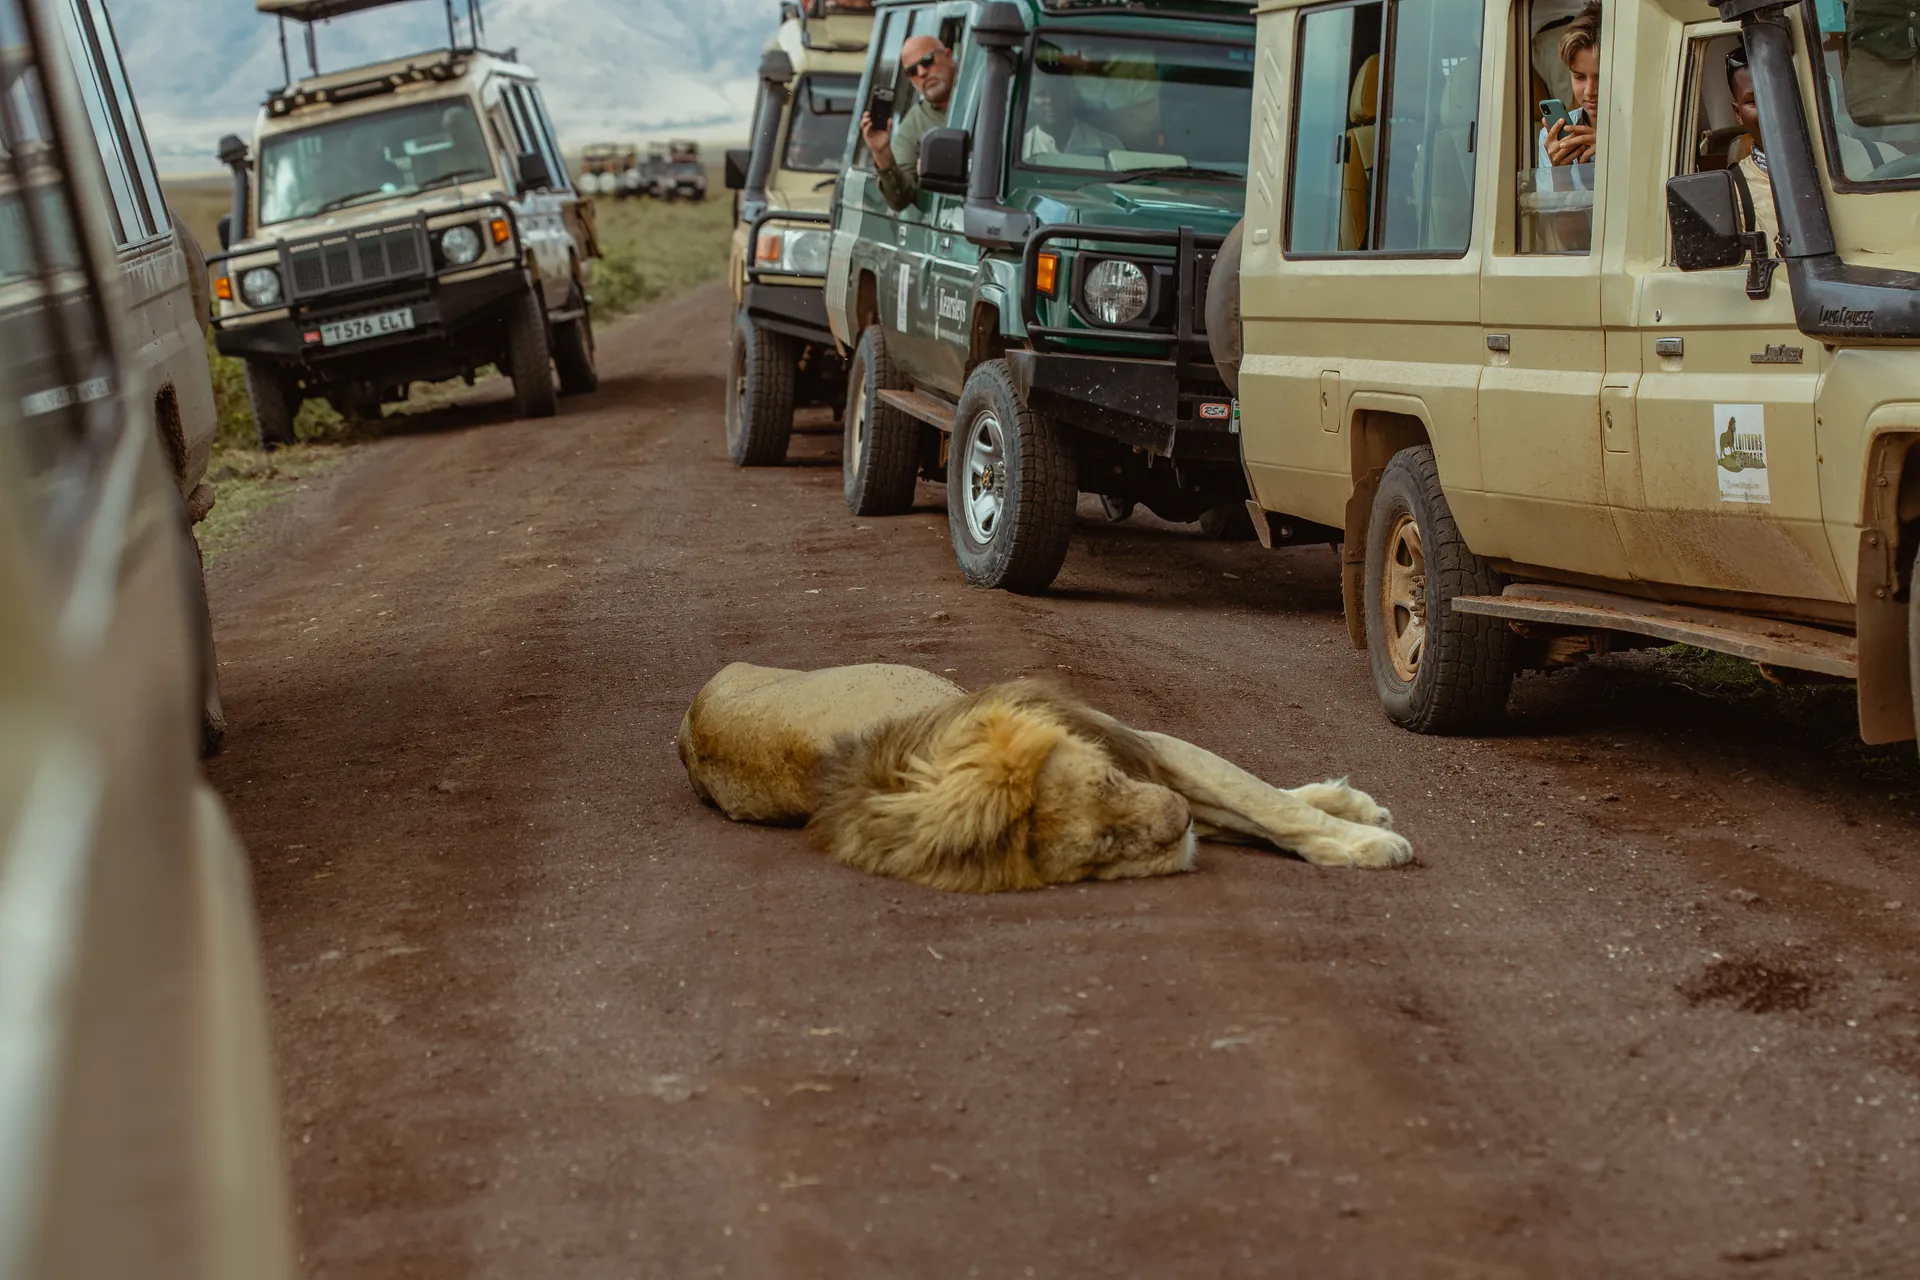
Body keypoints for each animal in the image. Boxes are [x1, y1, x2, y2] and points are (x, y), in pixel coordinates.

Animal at [675, 663, 1413, 893]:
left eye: (1108, 785)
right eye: (1104, 849)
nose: (1175, 824)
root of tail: (687, 725)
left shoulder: (1140, 744)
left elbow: (1263, 802)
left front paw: (1360, 828)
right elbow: (1254, 809)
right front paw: (1359, 838)